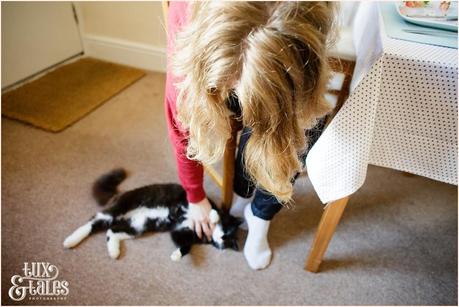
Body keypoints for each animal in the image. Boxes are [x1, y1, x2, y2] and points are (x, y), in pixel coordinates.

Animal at [63, 170, 243, 262]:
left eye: (228, 240)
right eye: (227, 231)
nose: (222, 237)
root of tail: (119, 194)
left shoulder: (180, 232)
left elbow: (186, 247)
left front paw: (176, 255)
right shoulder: (187, 202)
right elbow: (213, 211)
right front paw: (213, 217)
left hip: (136, 227)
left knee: (111, 231)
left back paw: (113, 251)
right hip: (118, 209)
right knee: (92, 222)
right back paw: (70, 240)